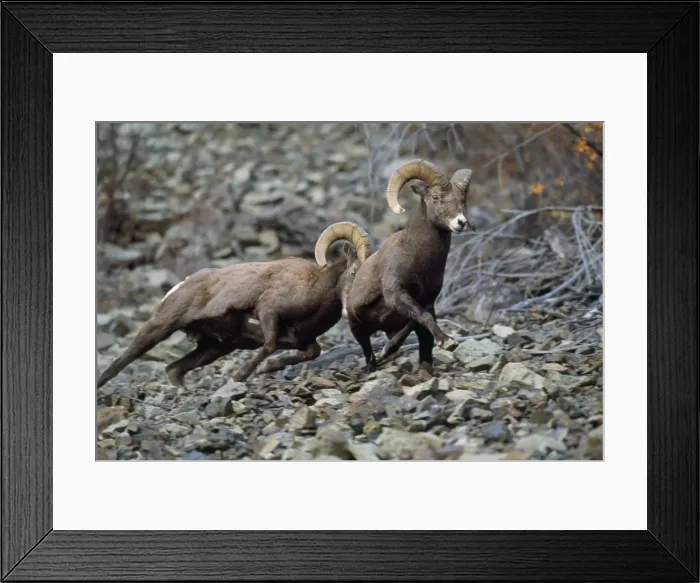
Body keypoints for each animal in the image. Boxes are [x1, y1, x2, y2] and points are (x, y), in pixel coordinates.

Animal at [96, 221, 372, 388]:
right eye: (353, 272)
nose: (351, 308)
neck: (314, 287)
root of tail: (180, 286)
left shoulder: (302, 340)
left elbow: (310, 352)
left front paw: (266, 369)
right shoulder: (267, 312)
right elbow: (269, 345)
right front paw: (241, 376)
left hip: (214, 348)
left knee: (174, 369)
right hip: (160, 328)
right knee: (119, 363)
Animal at [343, 159, 474, 374]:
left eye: (462, 199)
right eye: (436, 197)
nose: (460, 222)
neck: (419, 259)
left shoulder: (427, 299)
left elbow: (419, 318)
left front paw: (389, 349)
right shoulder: (396, 293)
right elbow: (423, 316)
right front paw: (447, 341)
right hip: (357, 329)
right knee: (368, 353)